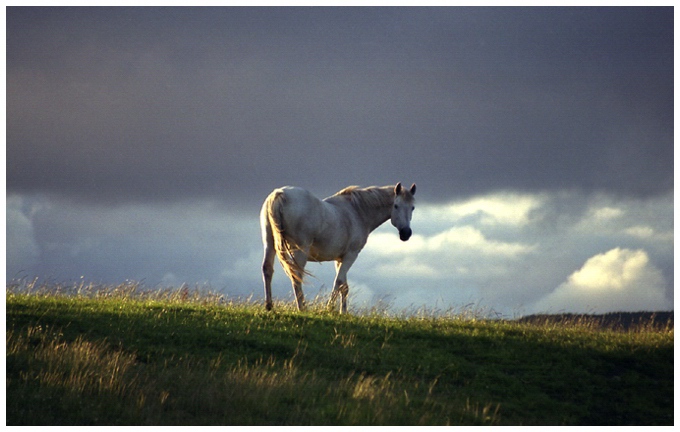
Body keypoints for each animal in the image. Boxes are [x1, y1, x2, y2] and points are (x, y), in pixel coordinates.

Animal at [258, 182, 414, 314]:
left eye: (412, 207)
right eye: (396, 206)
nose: (406, 233)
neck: (357, 212)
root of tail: (279, 194)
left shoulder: (340, 258)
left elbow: (344, 286)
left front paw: (342, 312)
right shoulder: (351, 255)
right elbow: (338, 282)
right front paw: (329, 308)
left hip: (269, 243)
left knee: (267, 269)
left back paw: (269, 306)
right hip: (300, 251)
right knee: (296, 275)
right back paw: (302, 307)